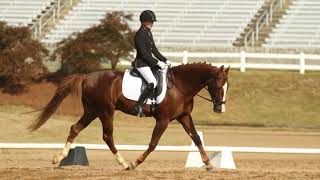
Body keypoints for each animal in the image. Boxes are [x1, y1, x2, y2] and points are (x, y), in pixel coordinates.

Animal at [28, 63, 229, 172]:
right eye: (219, 87)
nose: (220, 109)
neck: (180, 86)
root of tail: (87, 76)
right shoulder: (163, 119)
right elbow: (153, 143)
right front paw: (135, 163)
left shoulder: (184, 116)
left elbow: (196, 138)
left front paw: (209, 164)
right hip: (105, 111)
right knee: (107, 136)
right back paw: (124, 163)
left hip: (92, 111)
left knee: (75, 128)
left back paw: (58, 158)